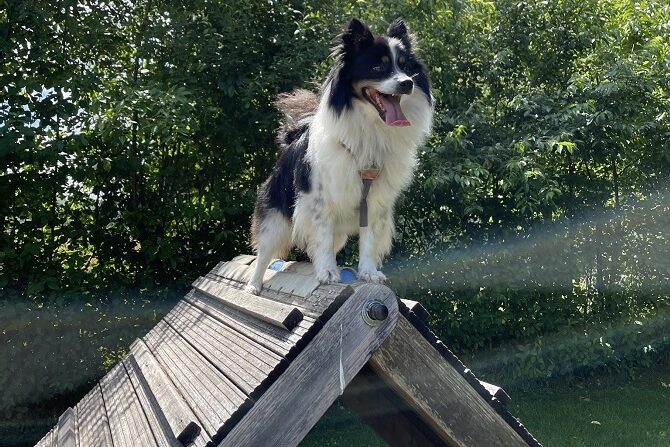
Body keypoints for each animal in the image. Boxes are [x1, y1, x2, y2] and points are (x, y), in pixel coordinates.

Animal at [247, 17, 436, 296]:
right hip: (275, 216)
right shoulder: (319, 199)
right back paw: (253, 285)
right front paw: (327, 272)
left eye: (405, 67)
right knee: (265, 250)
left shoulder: (375, 202)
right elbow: (321, 237)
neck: (371, 127)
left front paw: (368, 273)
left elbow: (368, 240)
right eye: (378, 66)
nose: (407, 83)